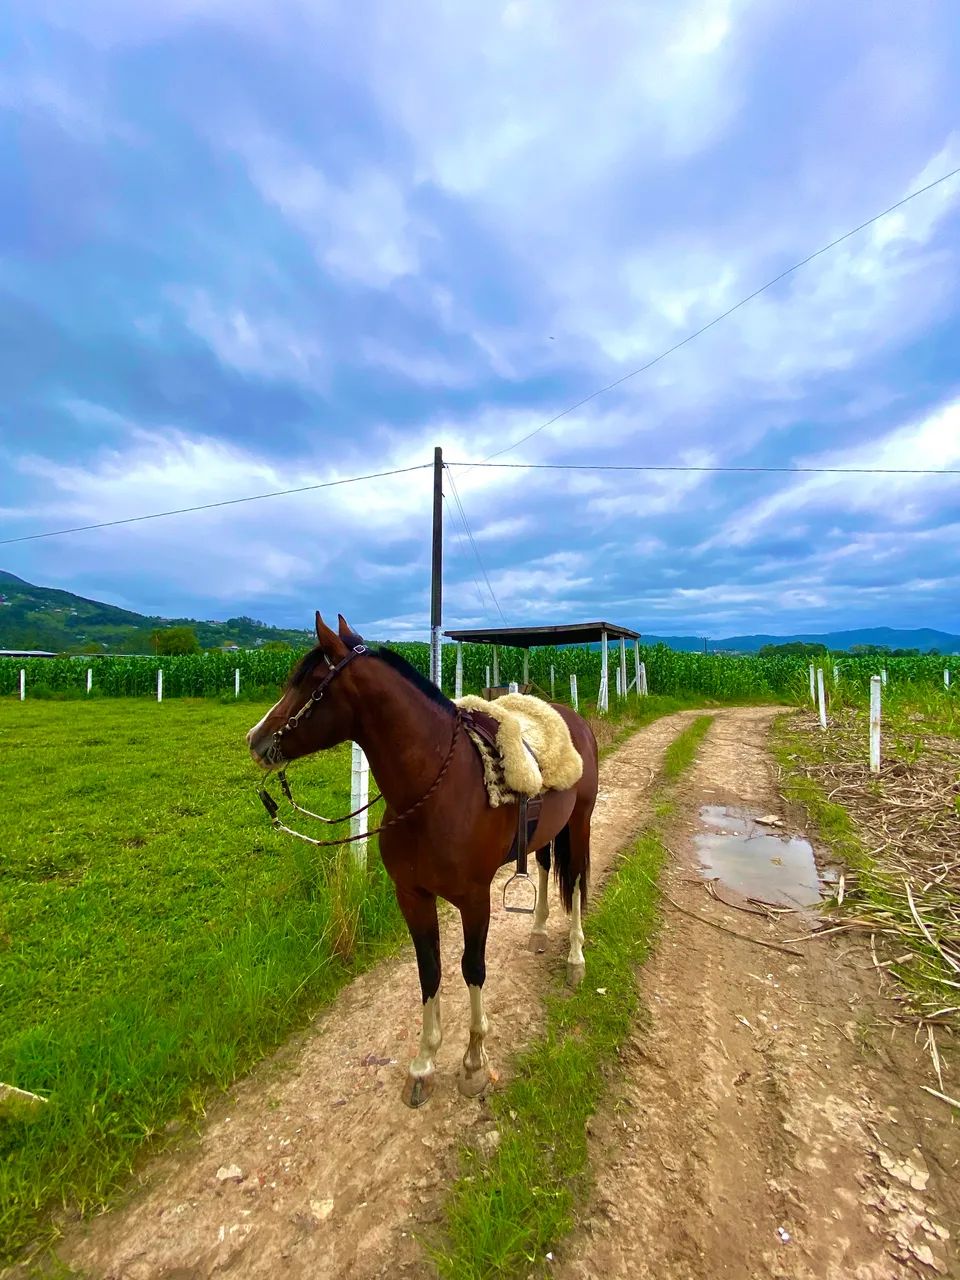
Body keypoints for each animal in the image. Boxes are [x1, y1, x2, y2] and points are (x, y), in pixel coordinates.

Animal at [246, 611, 599, 1108]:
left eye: (310, 684)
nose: (255, 740)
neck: (435, 787)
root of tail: (573, 719)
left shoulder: (475, 899)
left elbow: (472, 969)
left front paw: (473, 1063)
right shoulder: (412, 896)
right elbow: (428, 971)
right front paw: (424, 1064)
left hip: (581, 822)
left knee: (580, 882)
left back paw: (575, 959)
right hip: (548, 832)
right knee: (548, 868)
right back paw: (538, 931)